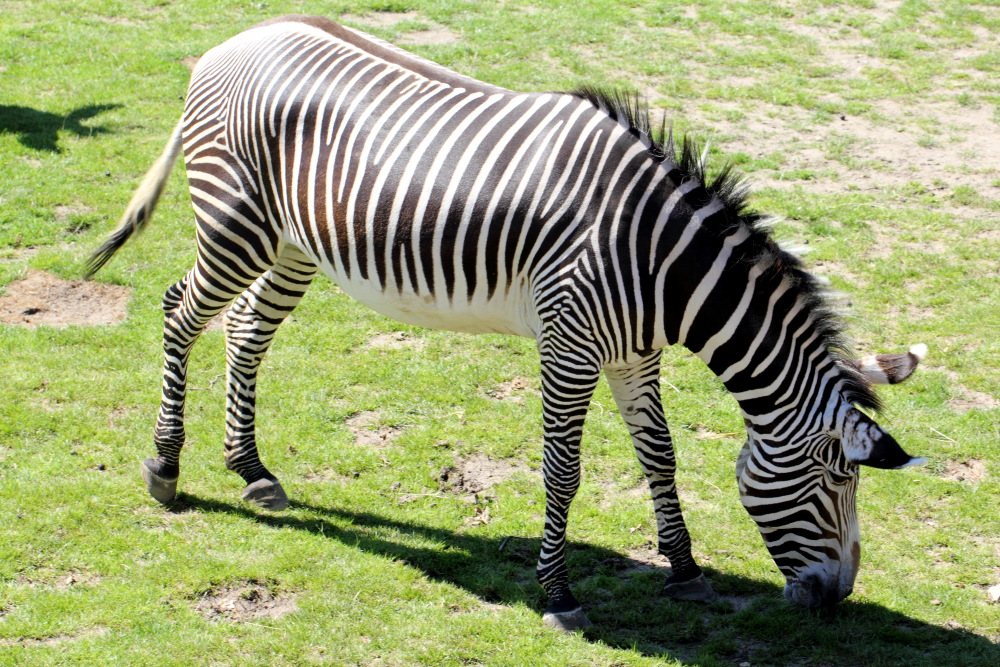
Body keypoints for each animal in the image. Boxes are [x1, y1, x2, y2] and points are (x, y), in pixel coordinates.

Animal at [86, 14, 927, 630]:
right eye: (839, 478)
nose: (836, 598)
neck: (661, 262)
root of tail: (235, 39)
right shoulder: (570, 344)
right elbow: (564, 469)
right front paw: (557, 594)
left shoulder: (634, 352)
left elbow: (660, 453)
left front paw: (684, 569)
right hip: (237, 222)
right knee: (179, 313)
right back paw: (165, 467)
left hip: (294, 241)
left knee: (245, 330)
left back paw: (252, 468)